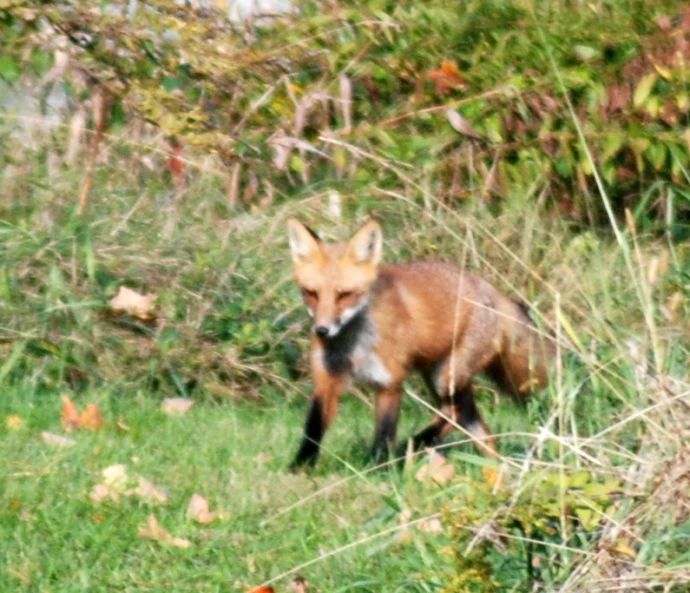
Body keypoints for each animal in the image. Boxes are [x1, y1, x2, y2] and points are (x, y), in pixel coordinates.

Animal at [286, 215, 552, 470]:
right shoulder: (327, 379)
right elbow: (313, 428)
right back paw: (492, 467)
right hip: (440, 377)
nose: (322, 330)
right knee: (473, 425)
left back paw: (412, 446)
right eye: (311, 293)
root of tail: (492, 290)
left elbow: (384, 432)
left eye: (345, 295)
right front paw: (301, 467)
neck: (353, 347)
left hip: (445, 378)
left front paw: (378, 466)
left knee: (452, 412)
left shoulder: (389, 382)